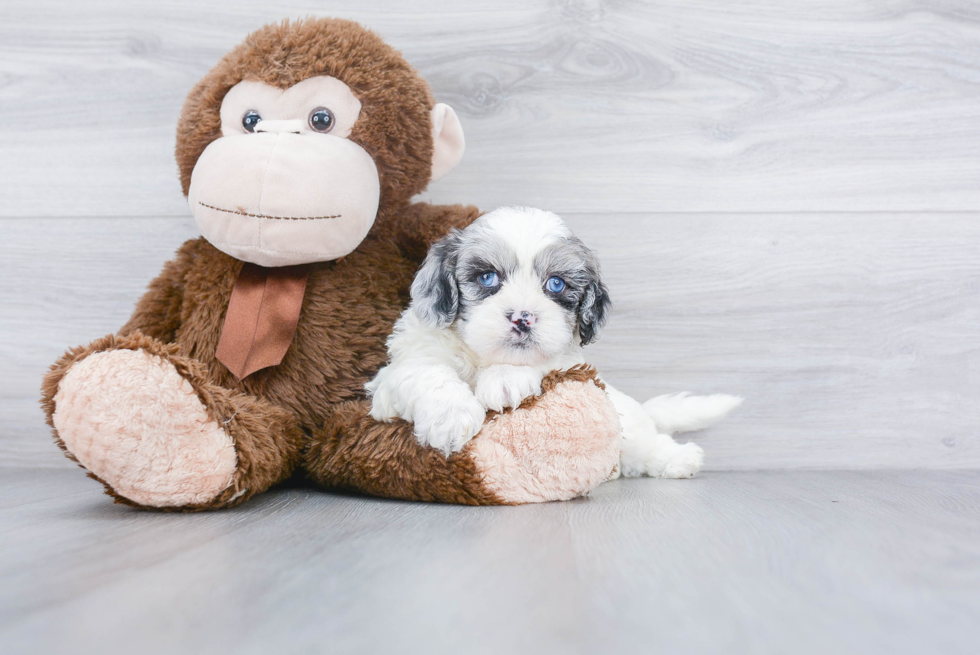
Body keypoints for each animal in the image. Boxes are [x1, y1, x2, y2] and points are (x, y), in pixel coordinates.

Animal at [364, 208, 740, 480]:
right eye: (487, 277)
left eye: (556, 284)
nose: (522, 317)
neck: (480, 358)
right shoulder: (390, 381)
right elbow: (426, 372)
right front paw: (450, 419)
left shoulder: (570, 361)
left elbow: (543, 360)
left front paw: (506, 378)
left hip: (626, 421)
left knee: (645, 441)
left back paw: (679, 458)